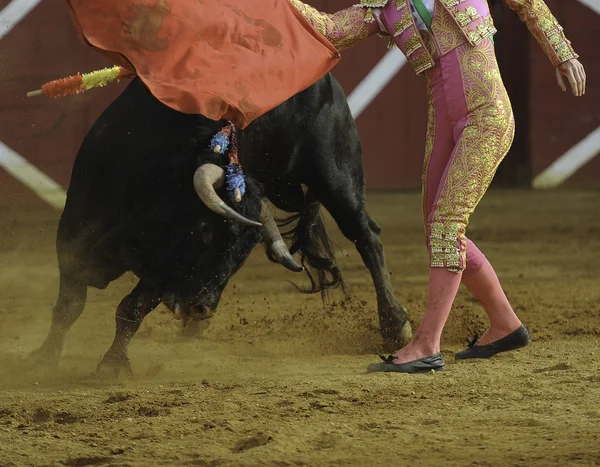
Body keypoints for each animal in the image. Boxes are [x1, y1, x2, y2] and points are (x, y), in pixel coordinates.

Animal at [29, 77, 412, 376]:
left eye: (244, 251)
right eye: (206, 231)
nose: (202, 308)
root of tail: (328, 82)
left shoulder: (164, 268)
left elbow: (130, 309)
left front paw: (111, 366)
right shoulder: (74, 233)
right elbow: (69, 306)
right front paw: (43, 359)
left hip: (337, 177)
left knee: (367, 235)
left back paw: (396, 326)